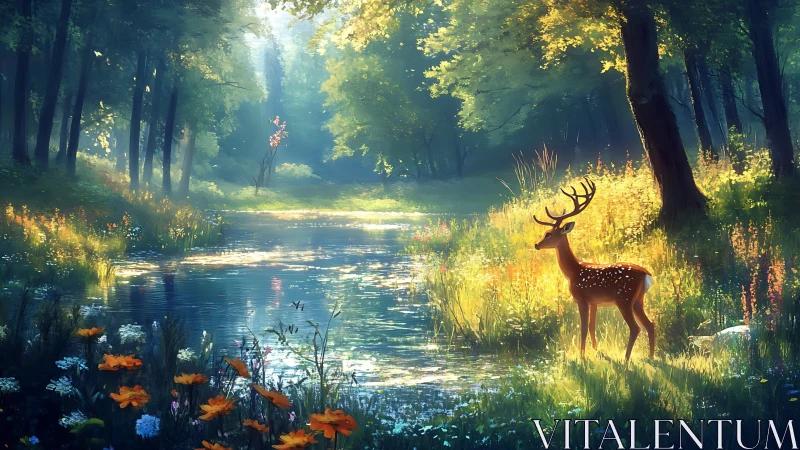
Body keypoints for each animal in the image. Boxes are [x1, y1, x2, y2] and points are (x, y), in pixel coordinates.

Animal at [533, 178, 655, 362]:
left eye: (548, 234)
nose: (536, 244)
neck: (573, 272)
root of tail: (646, 274)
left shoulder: (582, 298)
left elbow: (583, 328)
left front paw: (582, 356)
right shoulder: (594, 301)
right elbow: (592, 326)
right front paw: (596, 351)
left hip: (624, 298)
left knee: (635, 328)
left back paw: (626, 360)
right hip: (638, 300)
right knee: (650, 324)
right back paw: (651, 357)